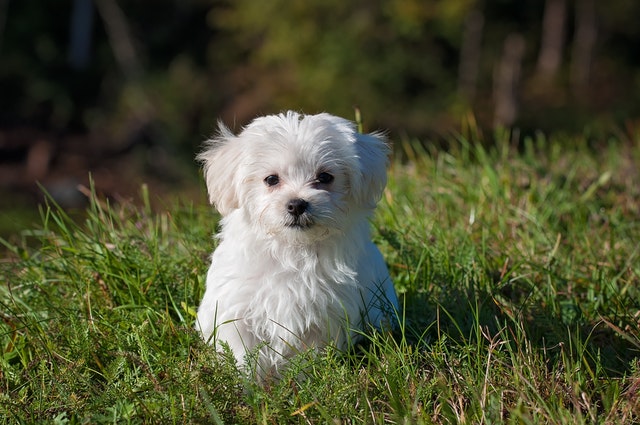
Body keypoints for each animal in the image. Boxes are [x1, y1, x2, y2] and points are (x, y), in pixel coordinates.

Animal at [195, 111, 398, 376]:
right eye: (271, 179)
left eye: (325, 177)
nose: (296, 204)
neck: (292, 249)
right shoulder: (237, 310)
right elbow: (242, 354)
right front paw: (246, 382)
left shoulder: (324, 316)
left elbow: (309, 356)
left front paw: (304, 378)